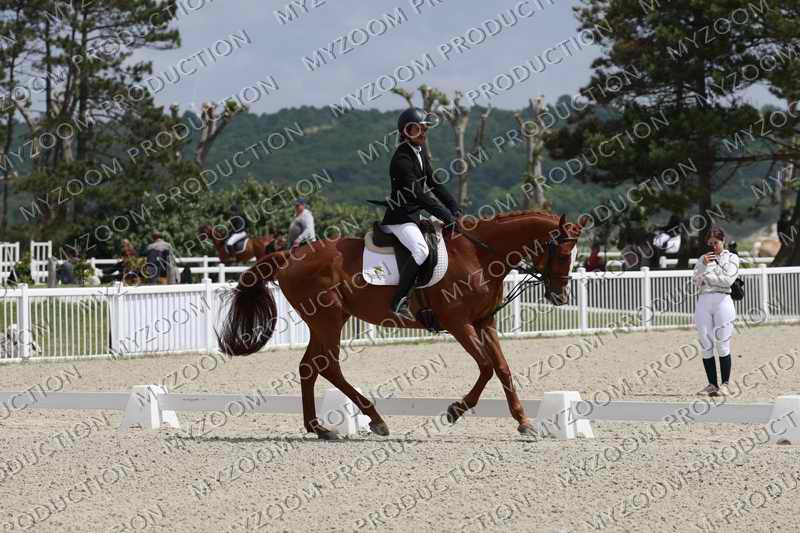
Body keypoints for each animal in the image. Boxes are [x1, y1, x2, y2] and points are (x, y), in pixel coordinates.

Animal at [218, 211, 585, 440]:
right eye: (561, 253)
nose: (560, 296)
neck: (480, 256)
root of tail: (290, 256)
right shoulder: (458, 323)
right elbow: (485, 367)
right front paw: (455, 410)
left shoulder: (485, 322)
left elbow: (503, 369)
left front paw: (524, 422)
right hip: (328, 319)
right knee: (328, 366)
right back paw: (376, 420)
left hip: (327, 321)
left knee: (310, 367)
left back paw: (320, 428)